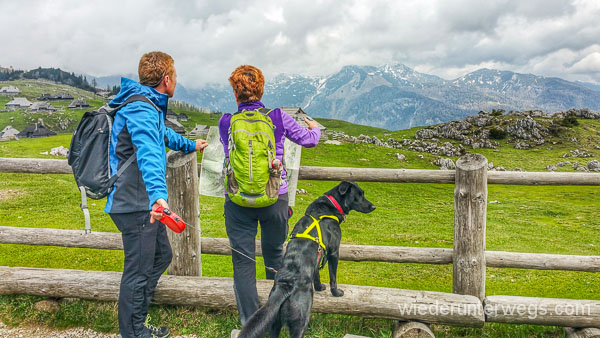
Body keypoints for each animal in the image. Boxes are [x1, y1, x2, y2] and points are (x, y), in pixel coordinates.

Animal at [238, 182, 376, 338]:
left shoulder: (318, 255)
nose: (373, 207)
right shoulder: (334, 252)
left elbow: (317, 275)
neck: (329, 206)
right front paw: (336, 293)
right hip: (301, 321)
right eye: (359, 195)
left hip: (274, 323)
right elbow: (333, 277)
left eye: (362, 193)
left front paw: (319, 287)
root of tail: (286, 284)